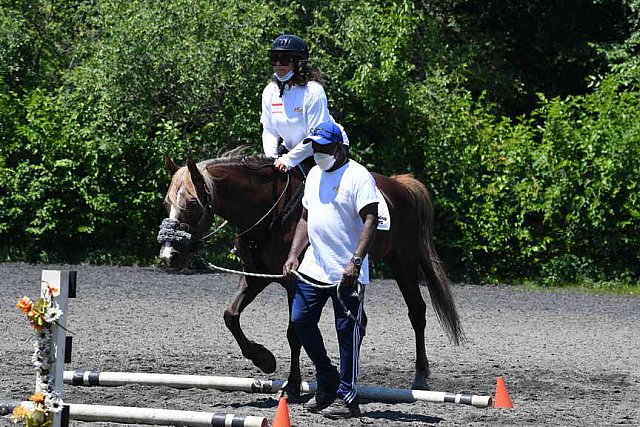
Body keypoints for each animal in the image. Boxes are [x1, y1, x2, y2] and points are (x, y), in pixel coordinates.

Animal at [156, 148, 464, 398]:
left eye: (192, 203)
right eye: (166, 203)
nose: (169, 255)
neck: (271, 214)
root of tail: (401, 184)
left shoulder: (294, 283)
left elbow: (294, 332)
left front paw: (292, 386)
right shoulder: (256, 276)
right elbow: (231, 315)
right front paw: (263, 359)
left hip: (403, 262)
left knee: (417, 312)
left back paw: (420, 377)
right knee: (359, 321)